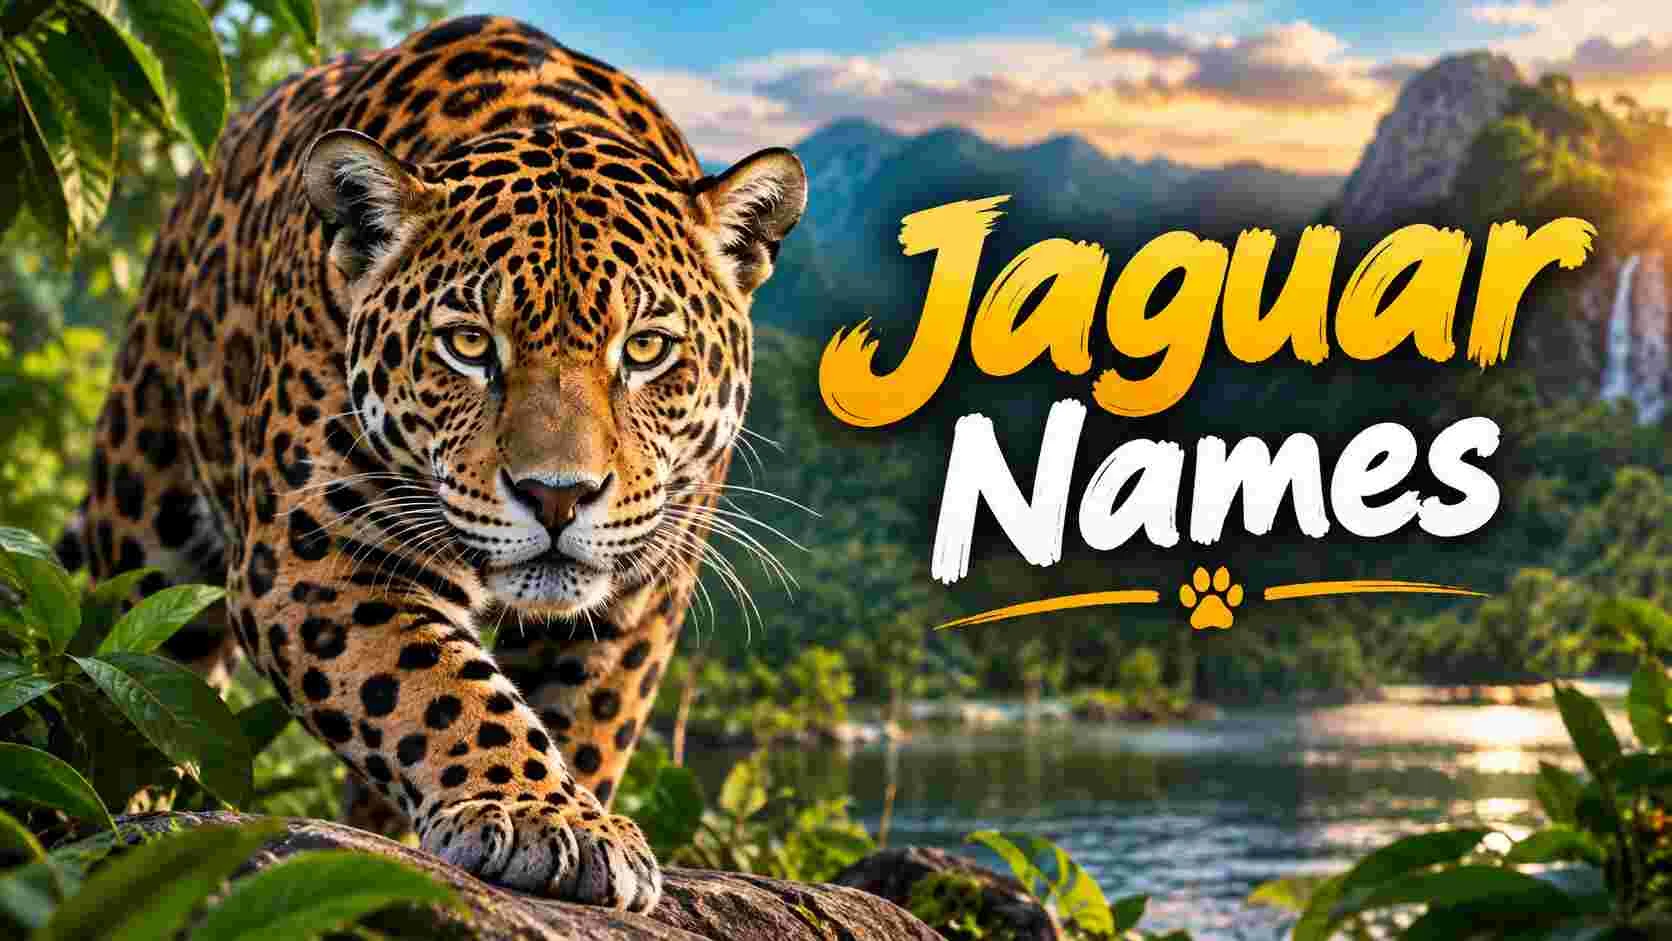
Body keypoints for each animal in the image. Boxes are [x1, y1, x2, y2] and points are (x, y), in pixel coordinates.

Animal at [53, 14, 806, 912]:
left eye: (648, 349)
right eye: (470, 344)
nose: (557, 498)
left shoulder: (639, 595)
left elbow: (584, 720)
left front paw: (577, 811)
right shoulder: (317, 560)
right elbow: (442, 689)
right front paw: (545, 816)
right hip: (146, 529)